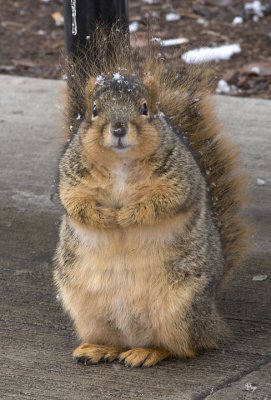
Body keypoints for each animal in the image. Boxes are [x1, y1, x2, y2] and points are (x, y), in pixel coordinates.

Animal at [54, 28, 252, 368]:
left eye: (145, 108)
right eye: (94, 111)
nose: (119, 128)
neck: (120, 163)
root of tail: (211, 316)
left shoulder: (180, 180)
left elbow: (165, 202)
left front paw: (126, 215)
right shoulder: (72, 179)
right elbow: (76, 204)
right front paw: (106, 216)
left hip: (179, 311)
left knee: (183, 347)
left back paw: (148, 352)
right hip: (86, 309)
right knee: (116, 340)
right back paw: (100, 348)